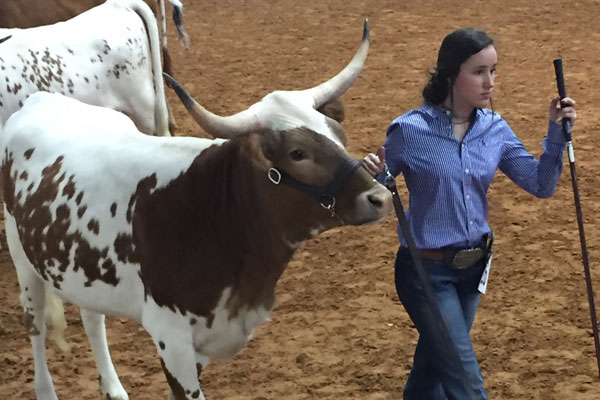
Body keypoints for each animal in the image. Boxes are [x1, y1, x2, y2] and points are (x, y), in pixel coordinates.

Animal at [1, 21, 390, 400]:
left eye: (338, 133)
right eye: (297, 153)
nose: (381, 197)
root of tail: (39, 101)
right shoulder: (171, 341)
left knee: (92, 319)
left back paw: (113, 388)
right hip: (24, 260)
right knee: (35, 325)